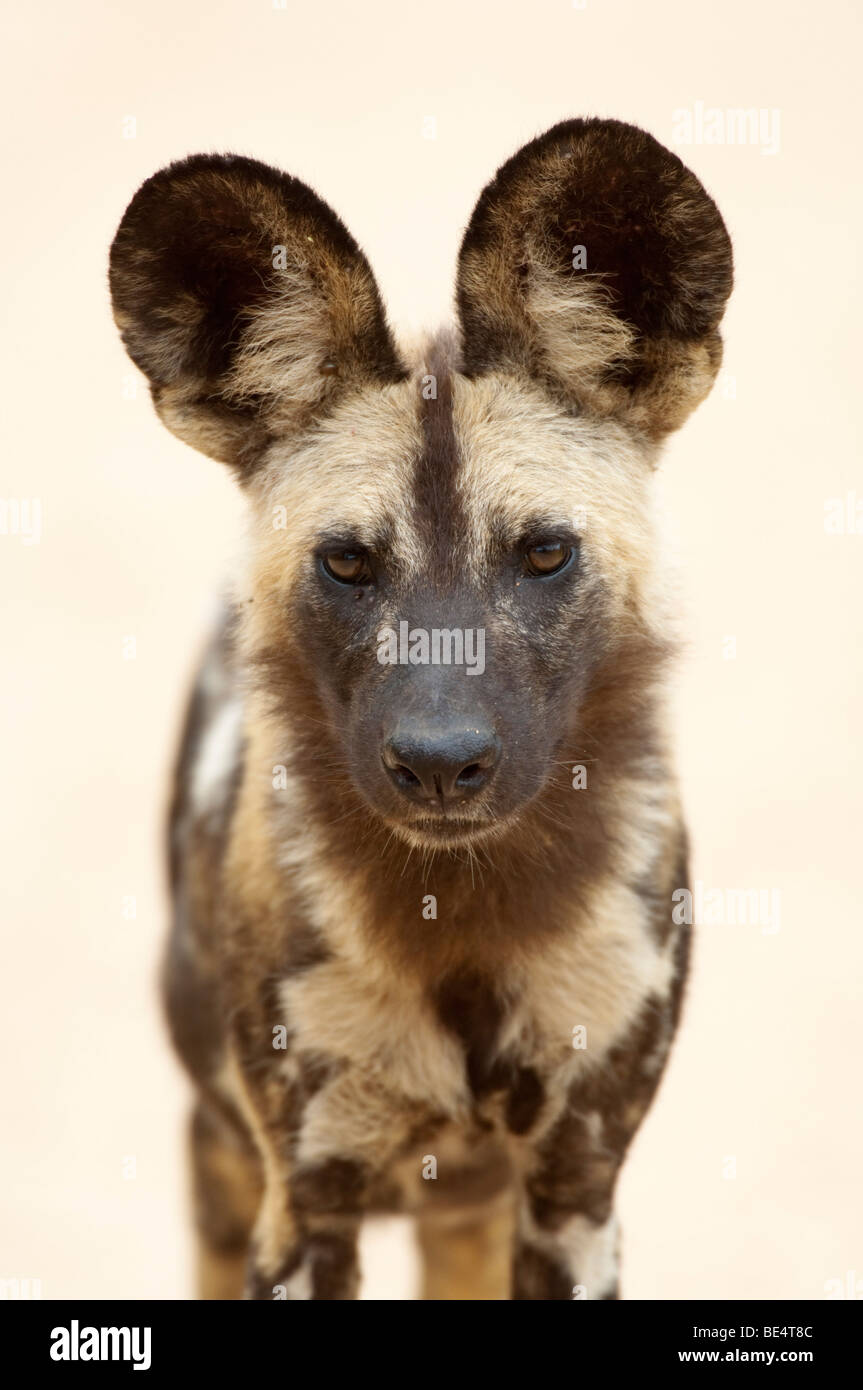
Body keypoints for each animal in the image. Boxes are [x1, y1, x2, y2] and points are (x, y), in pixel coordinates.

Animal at [107, 122, 728, 1301]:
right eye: (347, 564)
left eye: (544, 553)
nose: (440, 762)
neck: (463, 917)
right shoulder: (306, 1202)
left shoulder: (574, 1195)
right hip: (225, 1171)